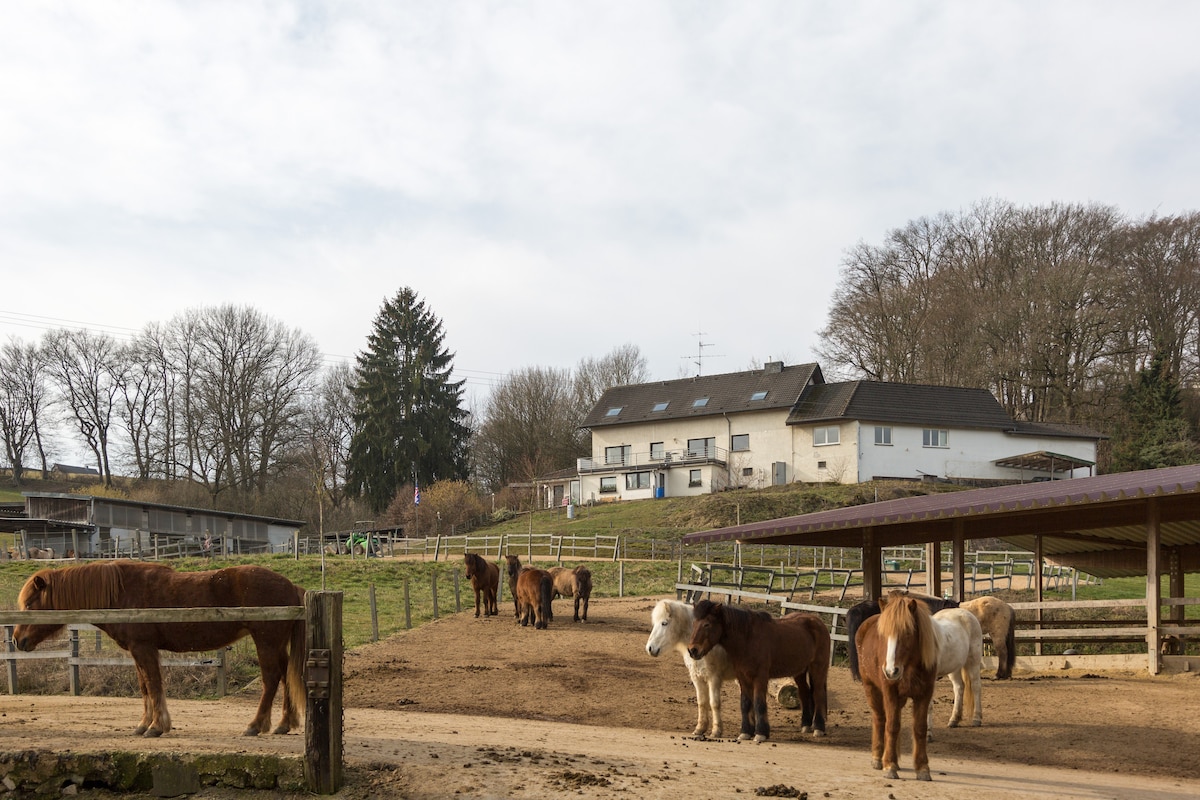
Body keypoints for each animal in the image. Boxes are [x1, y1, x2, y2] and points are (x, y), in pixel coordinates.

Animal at [12, 563, 304, 738]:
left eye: (30, 603)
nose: (17, 640)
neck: (121, 593)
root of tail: (292, 586)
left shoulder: (144, 648)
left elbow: (153, 685)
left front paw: (156, 726)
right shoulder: (138, 651)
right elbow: (145, 687)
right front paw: (144, 724)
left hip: (266, 641)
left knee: (271, 679)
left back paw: (255, 726)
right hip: (276, 644)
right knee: (285, 675)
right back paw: (284, 724)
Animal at [643, 599, 734, 738]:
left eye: (664, 623)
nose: (650, 648)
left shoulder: (714, 678)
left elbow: (714, 703)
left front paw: (716, 731)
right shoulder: (697, 678)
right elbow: (702, 702)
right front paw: (700, 729)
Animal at [691, 597, 830, 743]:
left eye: (707, 624)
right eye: (694, 623)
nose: (693, 650)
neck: (748, 639)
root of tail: (818, 621)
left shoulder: (760, 677)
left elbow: (759, 703)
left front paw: (761, 733)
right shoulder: (743, 677)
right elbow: (745, 703)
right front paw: (745, 732)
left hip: (818, 667)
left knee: (818, 694)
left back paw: (818, 728)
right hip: (800, 671)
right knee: (804, 692)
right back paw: (805, 725)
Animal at [859, 587, 940, 782]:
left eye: (908, 633)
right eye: (882, 635)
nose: (890, 671)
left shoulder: (924, 694)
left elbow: (920, 728)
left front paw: (922, 768)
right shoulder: (890, 691)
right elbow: (892, 725)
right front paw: (889, 766)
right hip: (871, 688)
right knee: (880, 718)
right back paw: (878, 758)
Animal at [926, 606, 984, 738]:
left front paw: (928, 733)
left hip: (973, 662)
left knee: (976, 686)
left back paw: (976, 719)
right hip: (955, 668)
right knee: (959, 687)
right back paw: (954, 720)